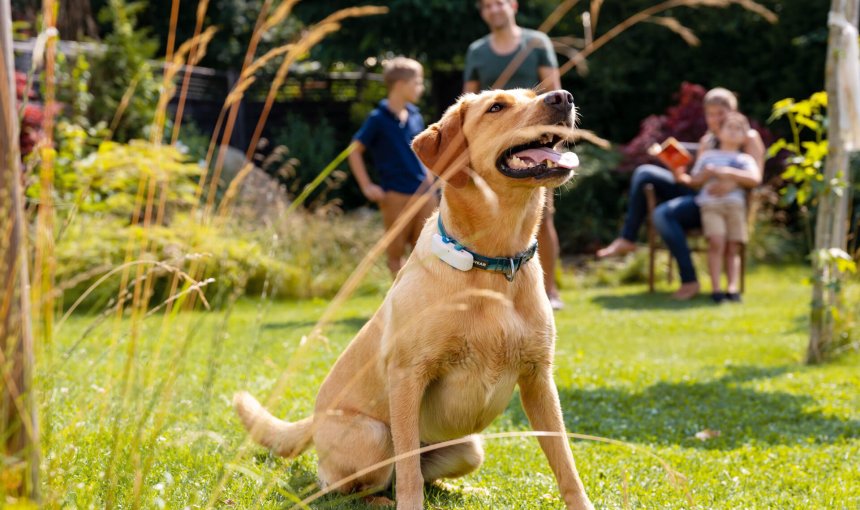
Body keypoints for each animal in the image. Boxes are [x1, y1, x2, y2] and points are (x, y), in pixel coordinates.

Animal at [239, 89, 596, 508]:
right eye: (496, 107)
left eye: (533, 94)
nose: (563, 97)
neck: (494, 265)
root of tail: (313, 419)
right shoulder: (408, 375)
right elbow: (407, 467)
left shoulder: (539, 378)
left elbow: (565, 462)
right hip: (375, 438)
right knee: (340, 484)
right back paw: (378, 500)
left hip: (469, 447)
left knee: (425, 477)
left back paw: (463, 489)